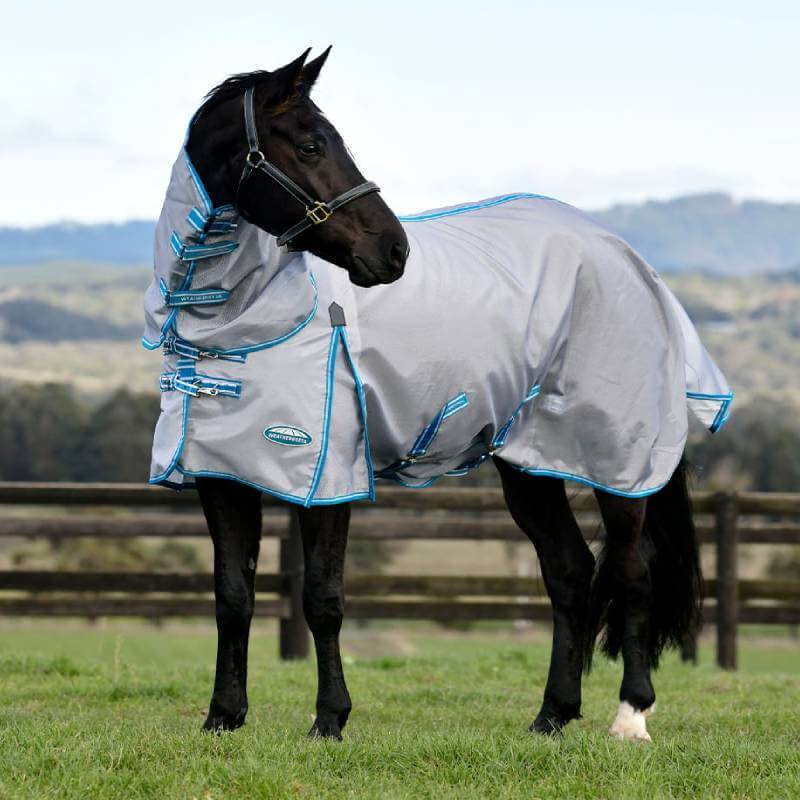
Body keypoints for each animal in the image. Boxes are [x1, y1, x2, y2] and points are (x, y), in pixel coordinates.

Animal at [144, 48, 731, 742]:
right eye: (311, 144)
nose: (393, 250)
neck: (241, 325)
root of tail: (631, 261)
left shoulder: (329, 477)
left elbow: (322, 598)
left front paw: (330, 720)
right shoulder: (223, 476)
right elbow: (233, 596)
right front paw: (223, 718)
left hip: (620, 462)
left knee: (631, 574)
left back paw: (631, 717)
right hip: (529, 467)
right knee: (570, 573)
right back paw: (552, 715)